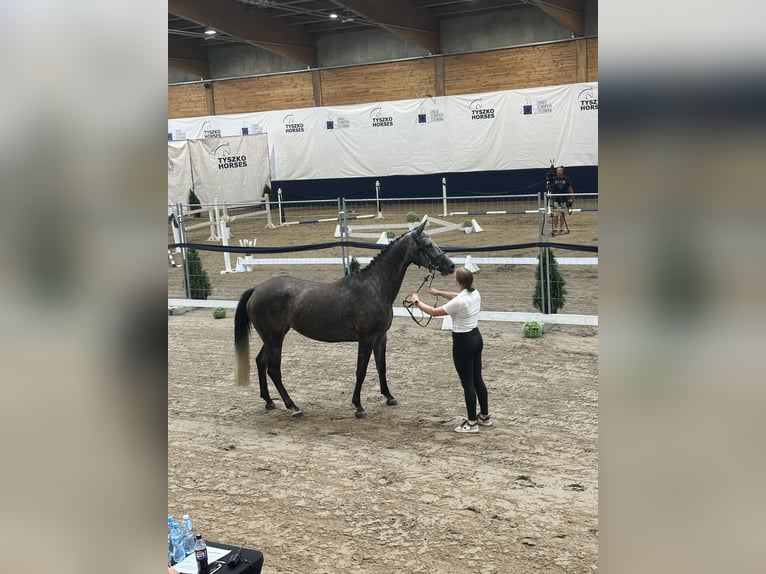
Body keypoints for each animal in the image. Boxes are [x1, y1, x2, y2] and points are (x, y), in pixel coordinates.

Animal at [234, 218, 455, 419]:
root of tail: (256, 290)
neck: (375, 287)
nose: (451, 266)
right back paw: (293, 407)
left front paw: (389, 397)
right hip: (275, 338)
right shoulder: (366, 338)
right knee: (273, 369)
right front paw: (358, 406)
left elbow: (381, 367)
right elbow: (361, 371)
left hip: (272, 337)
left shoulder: (381, 337)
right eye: (427, 245)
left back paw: (269, 401)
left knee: (261, 362)